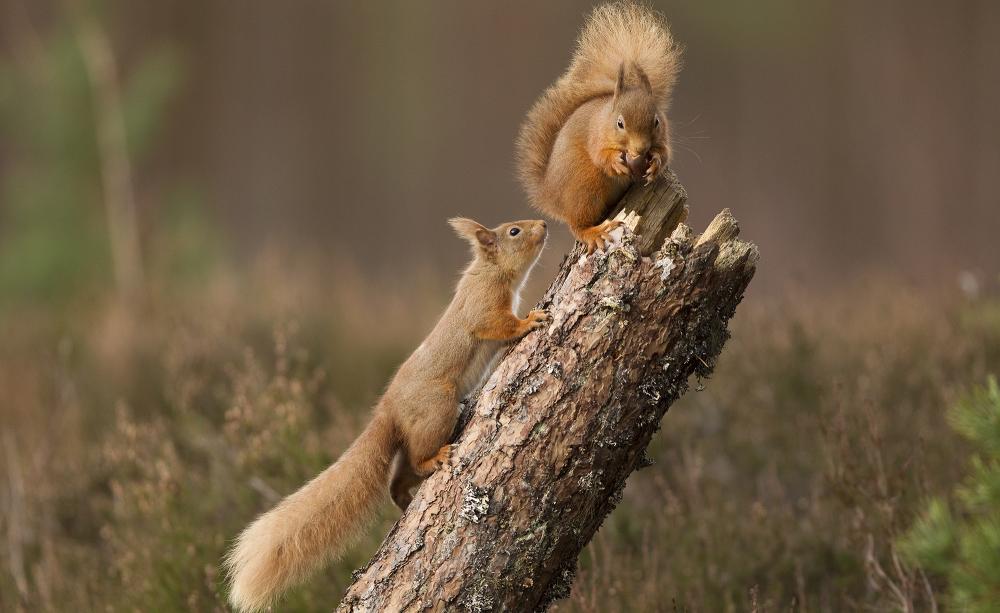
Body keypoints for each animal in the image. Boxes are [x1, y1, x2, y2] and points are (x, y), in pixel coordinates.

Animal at [224, 217, 550, 612]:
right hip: (437, 408)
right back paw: (433, 461)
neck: (491, 272)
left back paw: (406, 497)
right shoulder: (483, 309)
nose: (544, 224)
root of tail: (388, 411)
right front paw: (531, 320)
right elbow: (500, 326)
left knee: (398, 478)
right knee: (416, 458)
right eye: (514, 231)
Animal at [516, 1, 682, 253]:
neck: (605, 117)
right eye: (620, 123)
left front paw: (654, 164)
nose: (640, 149)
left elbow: (664, 152)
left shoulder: (662, 138)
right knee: (577, 225)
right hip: (586, 186)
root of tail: (552, 196)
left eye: (656, 121)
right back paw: (593, 232)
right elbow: (600, 155)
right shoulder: (595, 136)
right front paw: (615, 162)